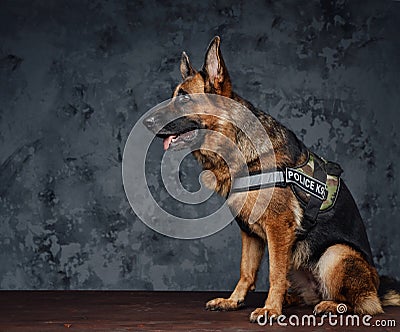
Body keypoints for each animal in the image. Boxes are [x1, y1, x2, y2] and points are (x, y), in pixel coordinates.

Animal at [145, 36, 400, 322]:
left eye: (185, 99)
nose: (147, 121)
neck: (235, 143)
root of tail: (376, 287)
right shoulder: (249, 233)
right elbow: (246, 271)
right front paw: (234, 301)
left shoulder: (278, 228)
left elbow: (273, 273)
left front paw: (270, 309)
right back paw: (292, 299)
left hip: (335, 254)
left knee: (363, 303)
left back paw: (331, 305)